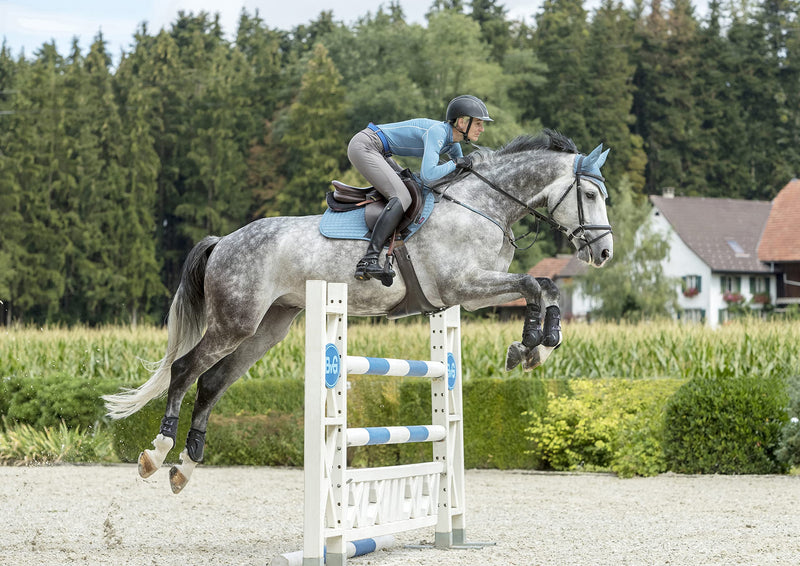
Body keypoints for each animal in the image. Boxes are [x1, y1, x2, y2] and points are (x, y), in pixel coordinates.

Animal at [100, 129, 612, 492]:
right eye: (590, 195)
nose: (604, 253)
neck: (482, 204)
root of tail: (224, 240)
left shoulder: (471, 292)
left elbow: (545, 286)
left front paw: (540, 347)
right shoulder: (462, 283)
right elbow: (531, 283)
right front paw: (528, 345)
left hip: (266, 328)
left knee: (211, 383)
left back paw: (185, 468)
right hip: (234, 321)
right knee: (185, 370)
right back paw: (156, 453)